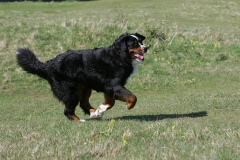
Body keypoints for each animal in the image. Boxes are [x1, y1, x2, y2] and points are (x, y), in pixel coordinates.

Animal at [15, 33, 147, 122]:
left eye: (140, 42)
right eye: (134, 44)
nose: (146, 48)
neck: (119, 56)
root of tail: (48, 64)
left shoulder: (110, 87)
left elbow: (111, 102)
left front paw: (101, 109)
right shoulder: (114, 85)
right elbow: (133, 97)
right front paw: (129, 106)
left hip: (84, 87)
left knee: (83, 103)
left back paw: (94, 113)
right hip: (70, 91)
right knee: (68, 110)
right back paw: (79, 120)